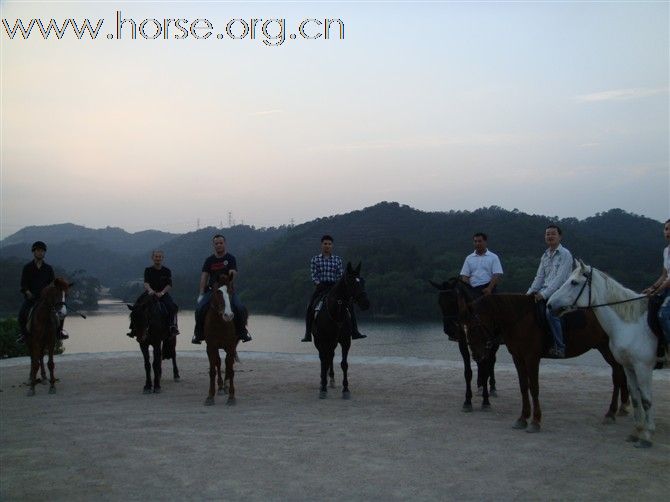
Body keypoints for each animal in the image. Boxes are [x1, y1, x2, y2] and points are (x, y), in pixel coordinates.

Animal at [203, 272, 240, 406]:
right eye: (218, 292)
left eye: (231, 291)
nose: (228, 315)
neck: (220, 323)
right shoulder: (210, 347)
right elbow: (213, 370)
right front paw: (210, 396)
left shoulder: (231, 346)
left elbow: (230, 369)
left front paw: (232, 396)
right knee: (218, 363)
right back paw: (220, 387)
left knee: (228, 364)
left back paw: (226, 385)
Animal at [312, 262, 370, 400]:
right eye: (351, 282)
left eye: (362, 281)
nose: (366, 303)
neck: (336, 311)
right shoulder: (323, 341)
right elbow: (324, 361)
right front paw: (323, 388)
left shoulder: (345, 341)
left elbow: (344, 364)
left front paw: (346, 389)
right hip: (319, 341)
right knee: (323, 358)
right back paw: (323, 381)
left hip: (333, 342)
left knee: (330, 356)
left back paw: (331, 379)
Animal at [434, 278, 502, 412]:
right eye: (439, 302)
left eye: (453, 301)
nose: (449, 329)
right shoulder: (463, 345)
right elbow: (468, 372)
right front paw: (467, 401)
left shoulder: (486, 343)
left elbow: (486, 369)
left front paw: (486, 401)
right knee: (480, 363)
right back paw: (480, 386)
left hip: (493, 345)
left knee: (491, 362)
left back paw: (492, 388)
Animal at [468, 292, 632, 434]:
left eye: (476, 326)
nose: (476, 355)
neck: (521, 320)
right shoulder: (518, 358)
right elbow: (523, 387)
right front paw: (522, 418)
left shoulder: (531, 358)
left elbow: (534, 388)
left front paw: (535, 421)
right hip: (604, 349)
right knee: (618, 374)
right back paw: (617, 410)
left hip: (609, 350)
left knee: (617, 377)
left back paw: (612, 413)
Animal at [548, 262, 660, 448]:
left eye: (574, 282)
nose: (550, 305)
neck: (631, 323)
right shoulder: (630, 365)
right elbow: (636, 397)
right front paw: (637, 431)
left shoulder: (643, 366)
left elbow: (646, 399)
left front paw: (647, 435)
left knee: (618, 379)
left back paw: (613, 412)